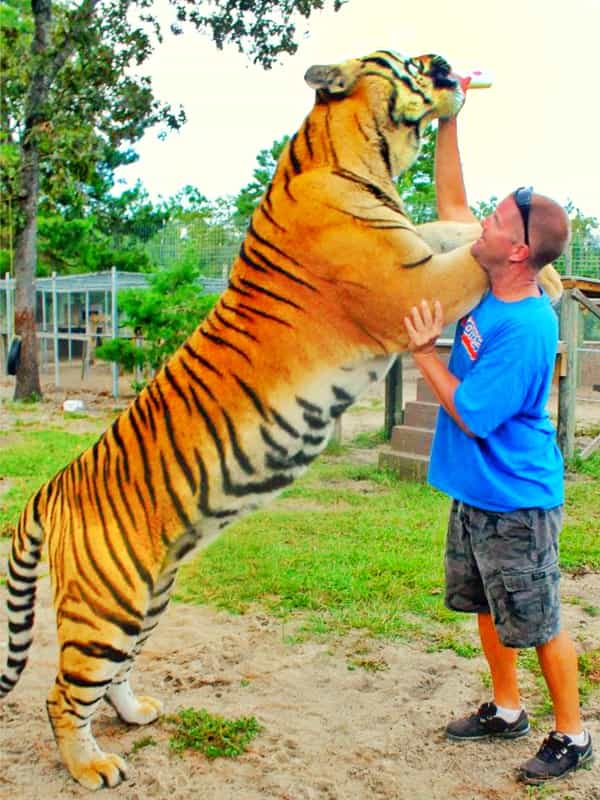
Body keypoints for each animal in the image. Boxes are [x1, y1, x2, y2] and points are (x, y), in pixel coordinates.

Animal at [0, 48, 564, 788]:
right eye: (409, 61)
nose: (448, 64)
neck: (360, 157)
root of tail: (52, 486)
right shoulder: (409, 284)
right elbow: (475, 253)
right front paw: (531, 261)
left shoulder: (413, 239)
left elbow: (459, 227)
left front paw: (545, 271)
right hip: (107, 602)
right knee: (62, 692)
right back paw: (91, 766)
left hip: (145, 597)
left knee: (110, 674)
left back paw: (135, 714)